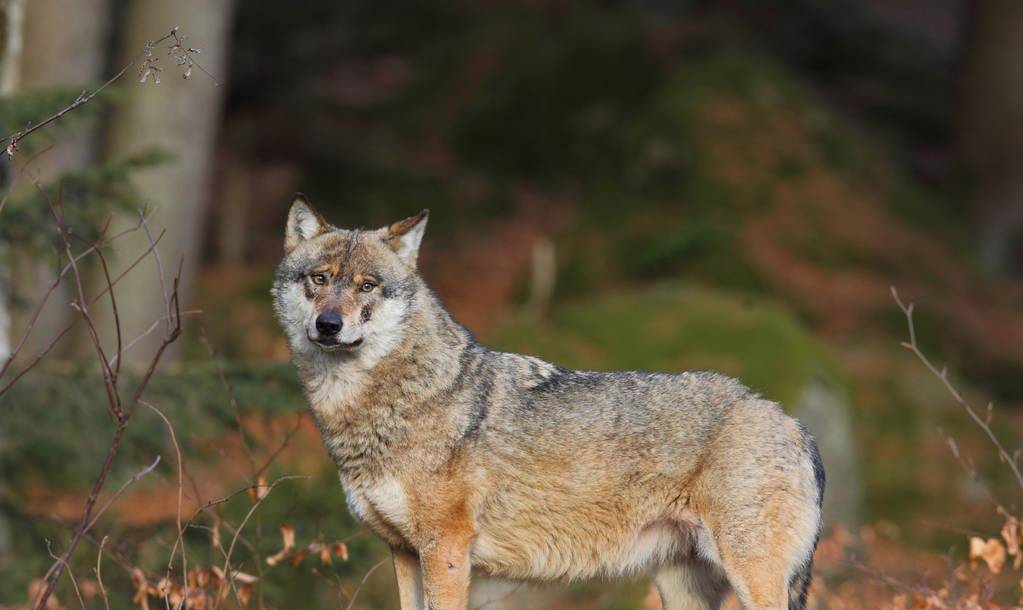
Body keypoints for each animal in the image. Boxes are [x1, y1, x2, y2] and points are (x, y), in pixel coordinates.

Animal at [270, 196, 822, 610]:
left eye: (367, 286)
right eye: (319, 279)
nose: (329, 325)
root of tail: (793, 422)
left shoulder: (446, 550)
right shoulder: (403, 553)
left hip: (749, 575)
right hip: (681, 587)